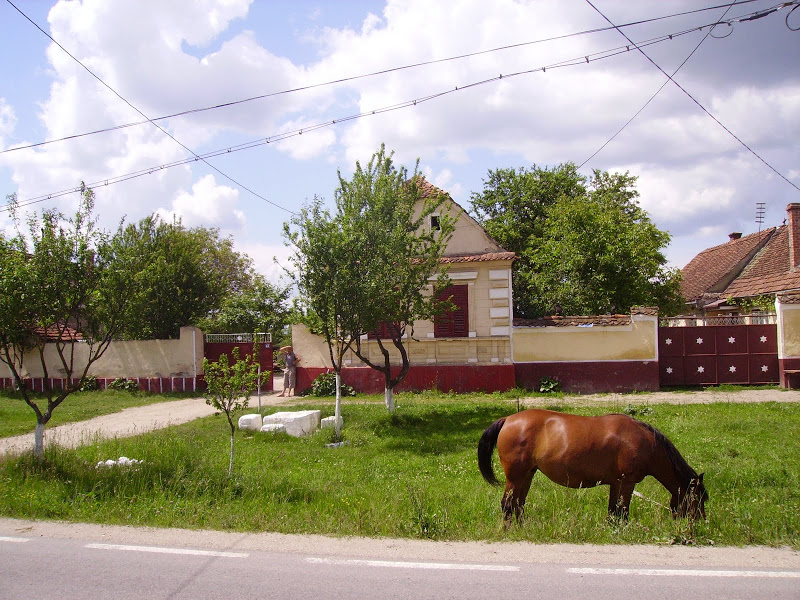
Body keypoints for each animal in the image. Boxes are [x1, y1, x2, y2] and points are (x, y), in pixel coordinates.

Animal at [476, 410, 708, 524]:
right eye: (698, 499)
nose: (700, 523)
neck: (645, 442)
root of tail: (508, 419)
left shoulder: (617, 484)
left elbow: (613, 512)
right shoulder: (627, 483)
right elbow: (622, 511)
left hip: (527, 475)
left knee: (518, 504)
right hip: (516, 477)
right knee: (507, 504)